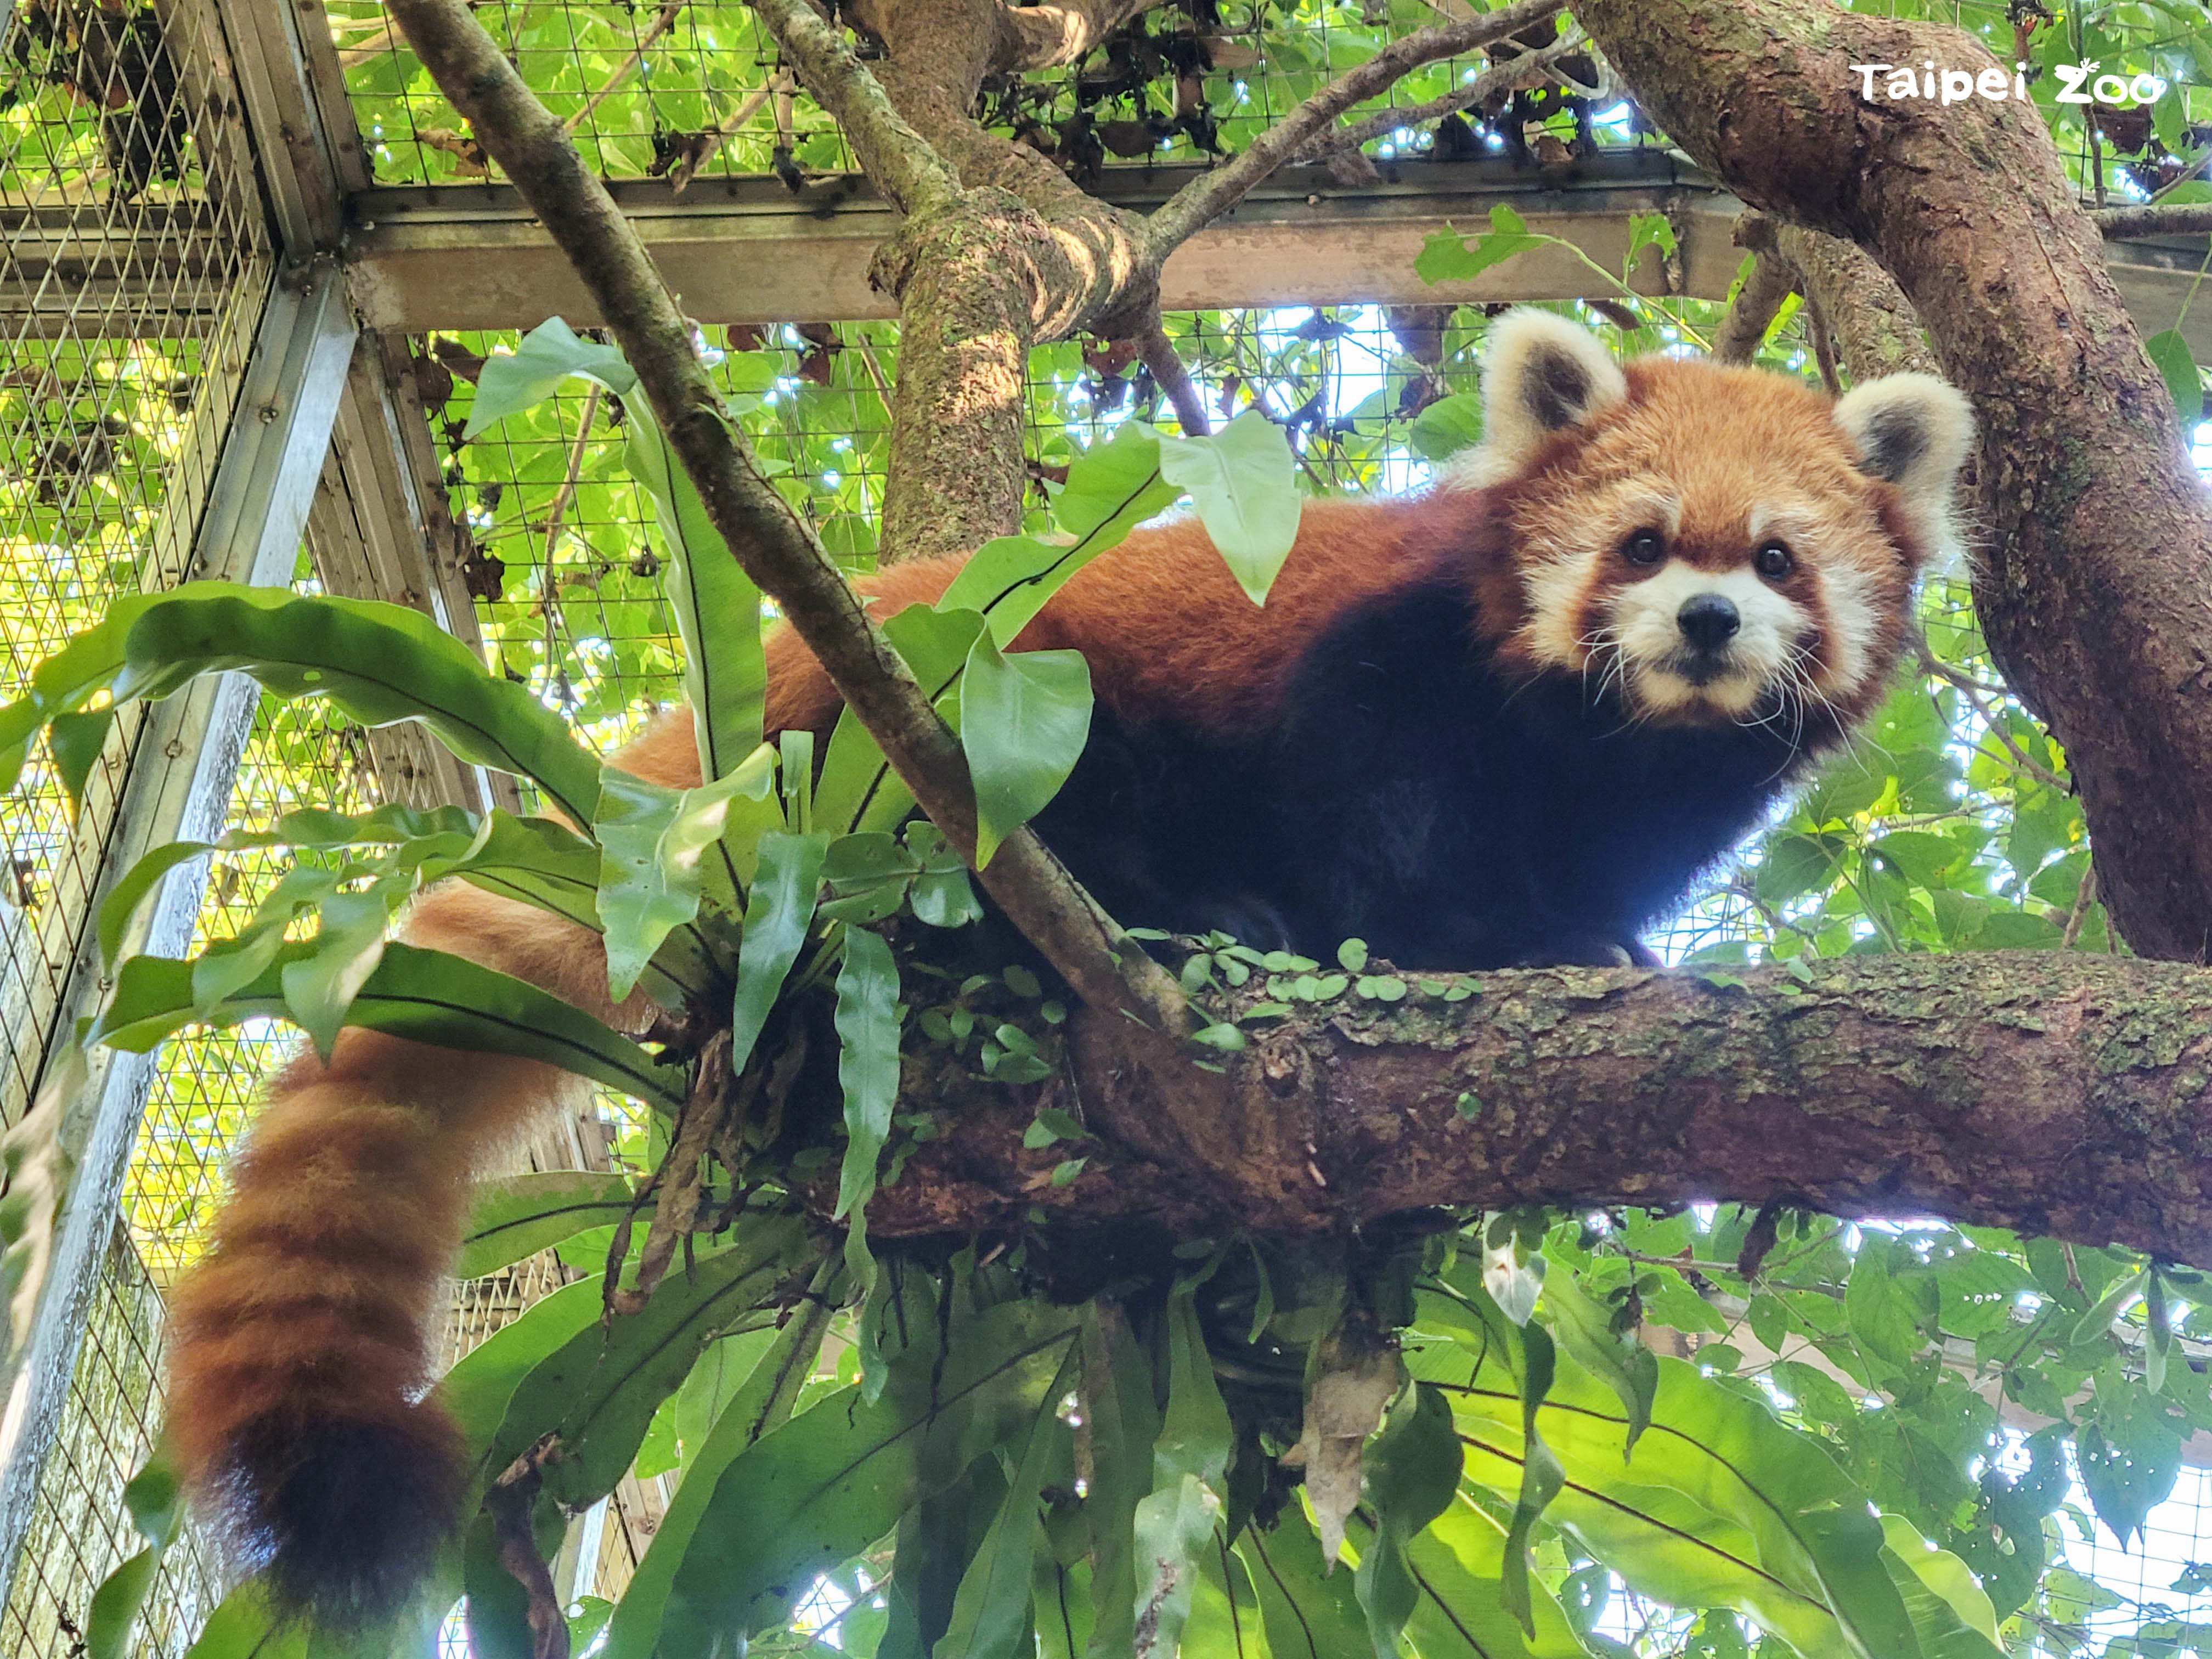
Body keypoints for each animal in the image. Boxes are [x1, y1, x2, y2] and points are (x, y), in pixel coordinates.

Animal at [163, 309, 1982, 1628]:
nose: (1704, 628)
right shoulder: (1375, 669)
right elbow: (1377, 829)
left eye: (1775, 562)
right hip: (920, 756)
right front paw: (1432, 944)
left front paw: (1589, 944)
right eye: (1648, 543)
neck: (1607, 749)